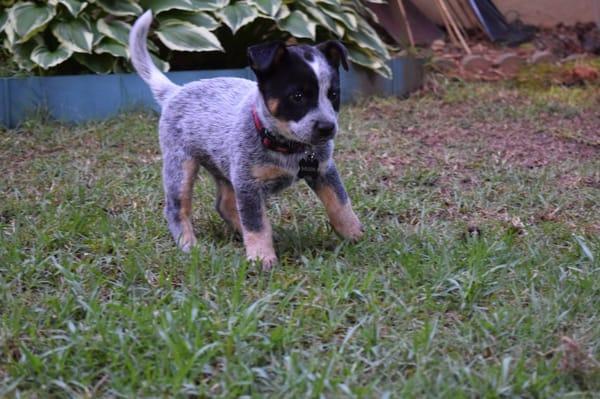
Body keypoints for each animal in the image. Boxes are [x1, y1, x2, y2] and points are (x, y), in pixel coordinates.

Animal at [129, 10, 364, 270]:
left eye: (333, 94)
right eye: (298, 96)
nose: (327, 128)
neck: (285, 146)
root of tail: (175, 91)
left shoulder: (324, 170)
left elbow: (340, 204)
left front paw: (355, 235)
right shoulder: (248, 185)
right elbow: (256, 224)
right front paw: (261, 257)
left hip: (224, 169)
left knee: (224, 204)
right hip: (180, 166)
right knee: (176, 208)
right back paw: (188, 244)